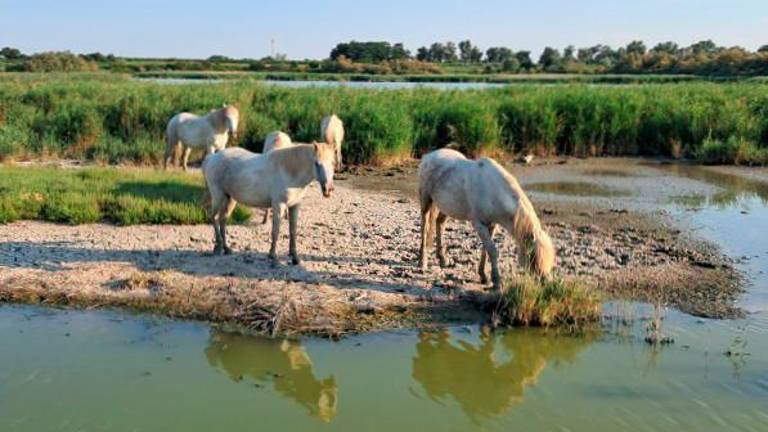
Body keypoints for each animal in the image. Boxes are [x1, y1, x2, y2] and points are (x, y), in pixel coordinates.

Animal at [202, 141, 336, 265]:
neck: (289, 171)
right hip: (218, 196)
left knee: (222, 220)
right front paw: (273, 257)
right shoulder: (279, 205)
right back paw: (218, 248)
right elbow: (275, 231)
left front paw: (295, 258)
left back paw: (226, 248)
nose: (328, 189)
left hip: (230, 199)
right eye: (317, 163)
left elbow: (293, 231)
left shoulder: (294, 206)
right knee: (214, 217)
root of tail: (212, 158)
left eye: (333, 163)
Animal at [417, 148, 555, 291]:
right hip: (426, 200)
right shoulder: (479, 224)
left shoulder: (492, 225)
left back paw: (442, 259)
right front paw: (496, 281)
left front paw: (484, 276)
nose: (546, 283)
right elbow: (492, 251)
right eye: (533, 257)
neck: (493, 191)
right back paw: (422, 263)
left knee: (440, 224)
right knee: (424, 228)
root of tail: (429, 155)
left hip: (447, 207)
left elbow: (486, 250)